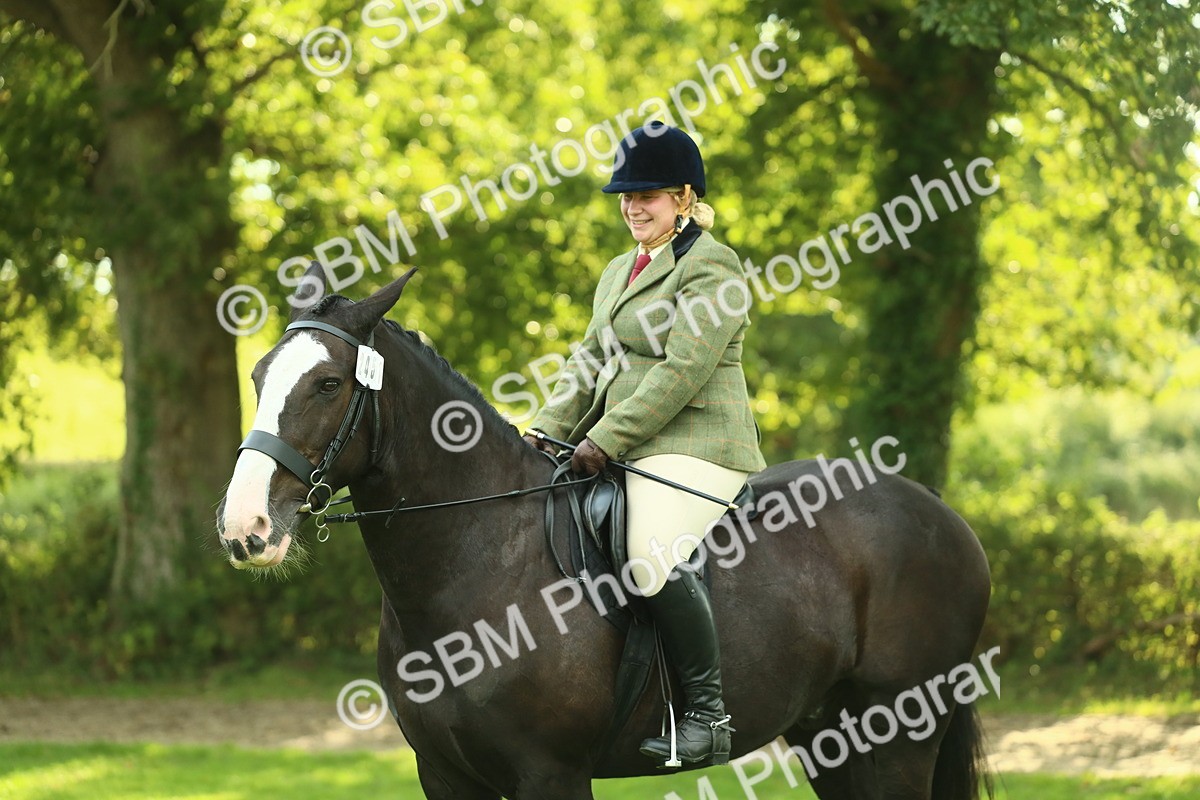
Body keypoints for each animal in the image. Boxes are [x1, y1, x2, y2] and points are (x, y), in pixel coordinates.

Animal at [216, 265, 994, 800]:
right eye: (257, 377)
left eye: (327, 385)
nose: (245, 526)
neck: (479, 559)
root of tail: (937, 509)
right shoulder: (445, 775)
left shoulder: (550, 774)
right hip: (831, 734)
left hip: (899, 731)